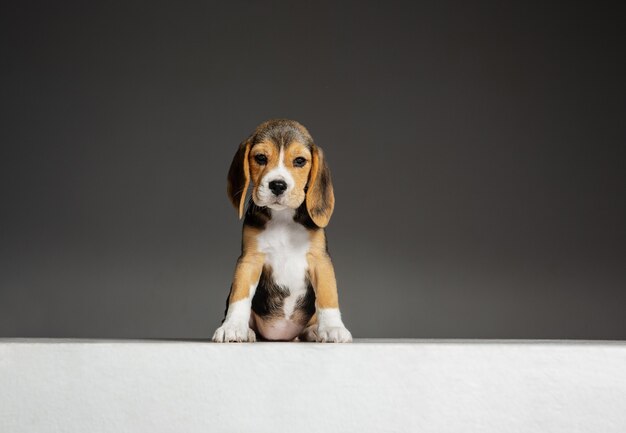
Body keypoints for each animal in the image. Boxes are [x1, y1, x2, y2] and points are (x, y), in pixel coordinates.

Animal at [212, 120, 352, 342]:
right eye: (260, 158)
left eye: (300, 161)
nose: (278, 185)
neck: (283, 217)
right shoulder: (250, 260)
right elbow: (239, 296)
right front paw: (232, 327)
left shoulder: (320, 260)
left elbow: (328, 296)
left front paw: (333, 328)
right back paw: (248, 331)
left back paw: (314, 331)